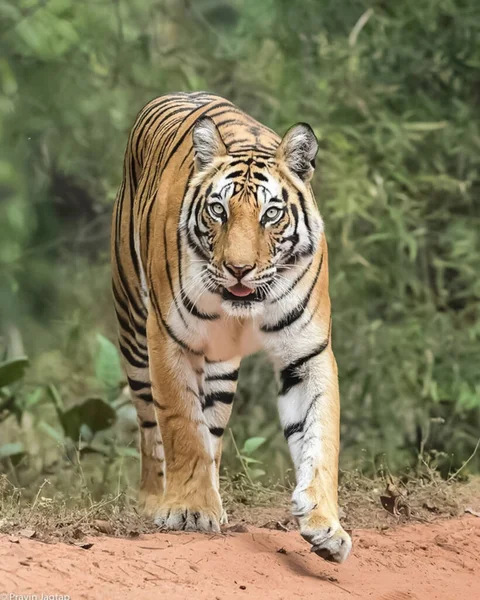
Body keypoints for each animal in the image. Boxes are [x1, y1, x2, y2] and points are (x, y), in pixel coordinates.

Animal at [112, 90, 352, 564]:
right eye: (218, 210)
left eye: (271, 214)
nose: (239, 269)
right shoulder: (170, 338)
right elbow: (181, 425)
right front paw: (188, 510)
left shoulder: (308, 353)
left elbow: (320, 437)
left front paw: (325, 525)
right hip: (132, 328)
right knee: (151, 426)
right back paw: (156, 498)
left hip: (221, 367)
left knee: (213, 427)